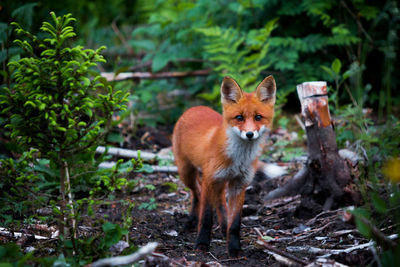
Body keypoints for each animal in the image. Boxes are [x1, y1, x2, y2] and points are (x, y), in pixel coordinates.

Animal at [172, 75, 276, 258]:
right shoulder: (209, 179)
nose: (249, 134)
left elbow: (235, 224)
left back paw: (223, 226)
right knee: (197, 193)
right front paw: (202, 244)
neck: (237, 158)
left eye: (258, 117)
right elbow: (206, 218)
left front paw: (234, 247)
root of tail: (195, 107)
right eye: (239, 118)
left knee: (219, 200)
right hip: (187, 173)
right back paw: (191, 221)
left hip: (219, 182)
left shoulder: (239, 184)